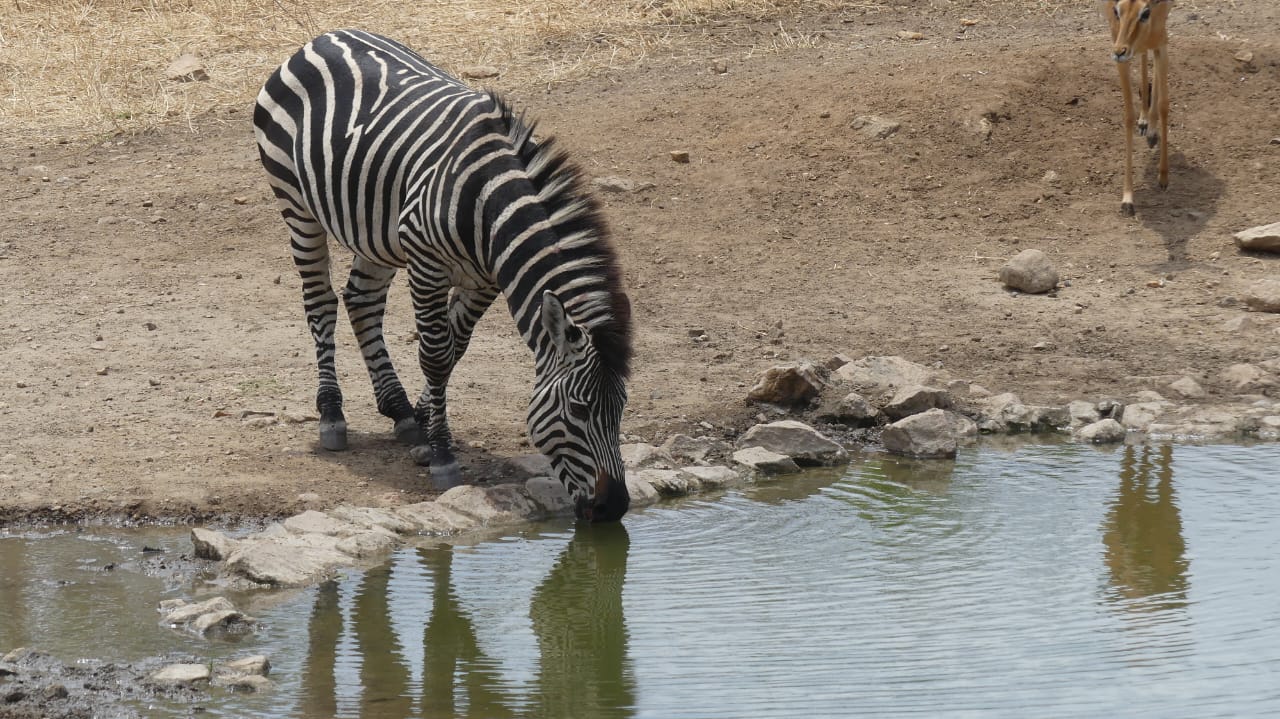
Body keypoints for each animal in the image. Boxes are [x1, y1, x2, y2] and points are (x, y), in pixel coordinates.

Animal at [252, 29, 633, 522]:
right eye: (581, 410)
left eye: (621, 409)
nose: (615, 507)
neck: (489, 201)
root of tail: (323, 37)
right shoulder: (426, 264)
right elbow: (434, 354)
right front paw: (443, 456)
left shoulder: (484, 279)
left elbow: (455, 347)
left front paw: (424, 422)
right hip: (296, 204)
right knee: (321, 302)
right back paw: (332, 415)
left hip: (376, 229)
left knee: (361, 301)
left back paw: (397, 408)